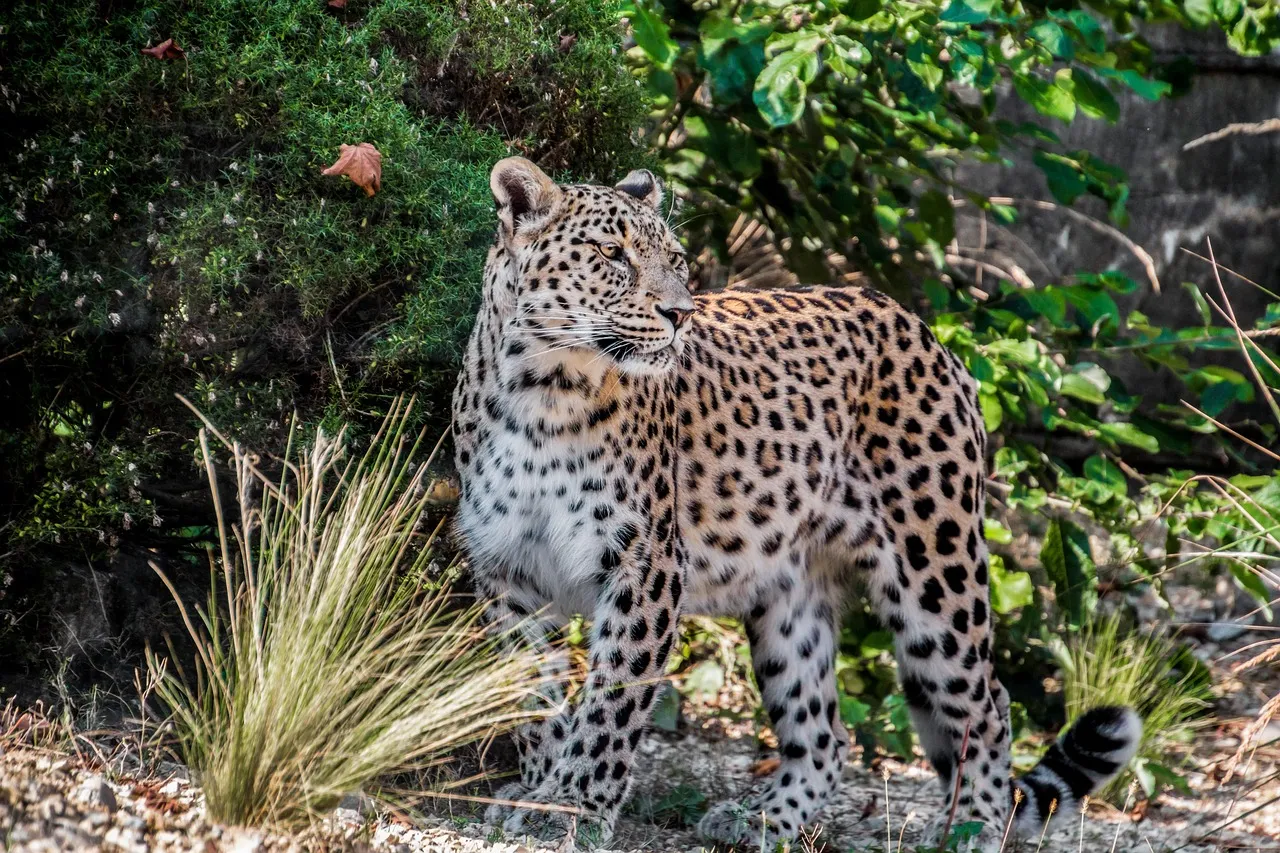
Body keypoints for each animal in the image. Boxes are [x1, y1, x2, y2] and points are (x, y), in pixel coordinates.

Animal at [451, 157, 1142, 852]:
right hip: (790, 595)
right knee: (825, 734)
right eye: (611, 254)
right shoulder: (507, 569)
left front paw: (572, 806)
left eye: (675, 259)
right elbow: (528, 698)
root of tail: (924, 329)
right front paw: (535, 789)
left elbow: (612, 700)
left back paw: (971, 825)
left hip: (936, 573)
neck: (543, 390)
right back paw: (762, 818)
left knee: (987, 705)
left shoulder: (644, 566)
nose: (679, 313)